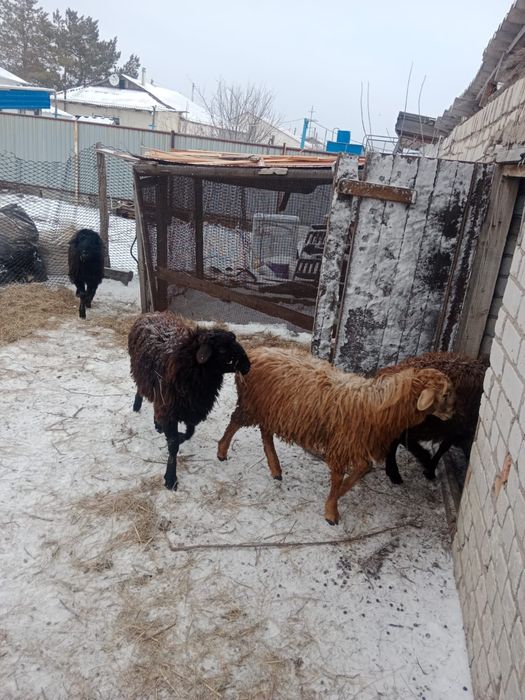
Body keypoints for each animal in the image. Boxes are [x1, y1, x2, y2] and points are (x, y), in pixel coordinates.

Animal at [128, 312, 250, 491]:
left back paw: (158, 424)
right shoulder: (171, 410)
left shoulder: (192, 409)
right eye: (222, 349)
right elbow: (173, 445)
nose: (248, 365)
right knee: (141, 389)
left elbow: (189, 433)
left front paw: (178, 436)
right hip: (144, 376)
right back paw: (137, 406)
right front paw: (170, 478)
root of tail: (151, 313)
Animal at [217, 346, 454, 525]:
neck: (376, 406)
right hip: (252, 405)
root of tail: (256, 352)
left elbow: (363, 469)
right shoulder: (343, 445)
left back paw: (275, 469)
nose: (452, 414)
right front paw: (331, 510)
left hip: (270, 411)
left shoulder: (356, 445)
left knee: (265, 433)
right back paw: (222, 451)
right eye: (444, 394)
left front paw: (339, 495)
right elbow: (339, 476)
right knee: (234, 423)